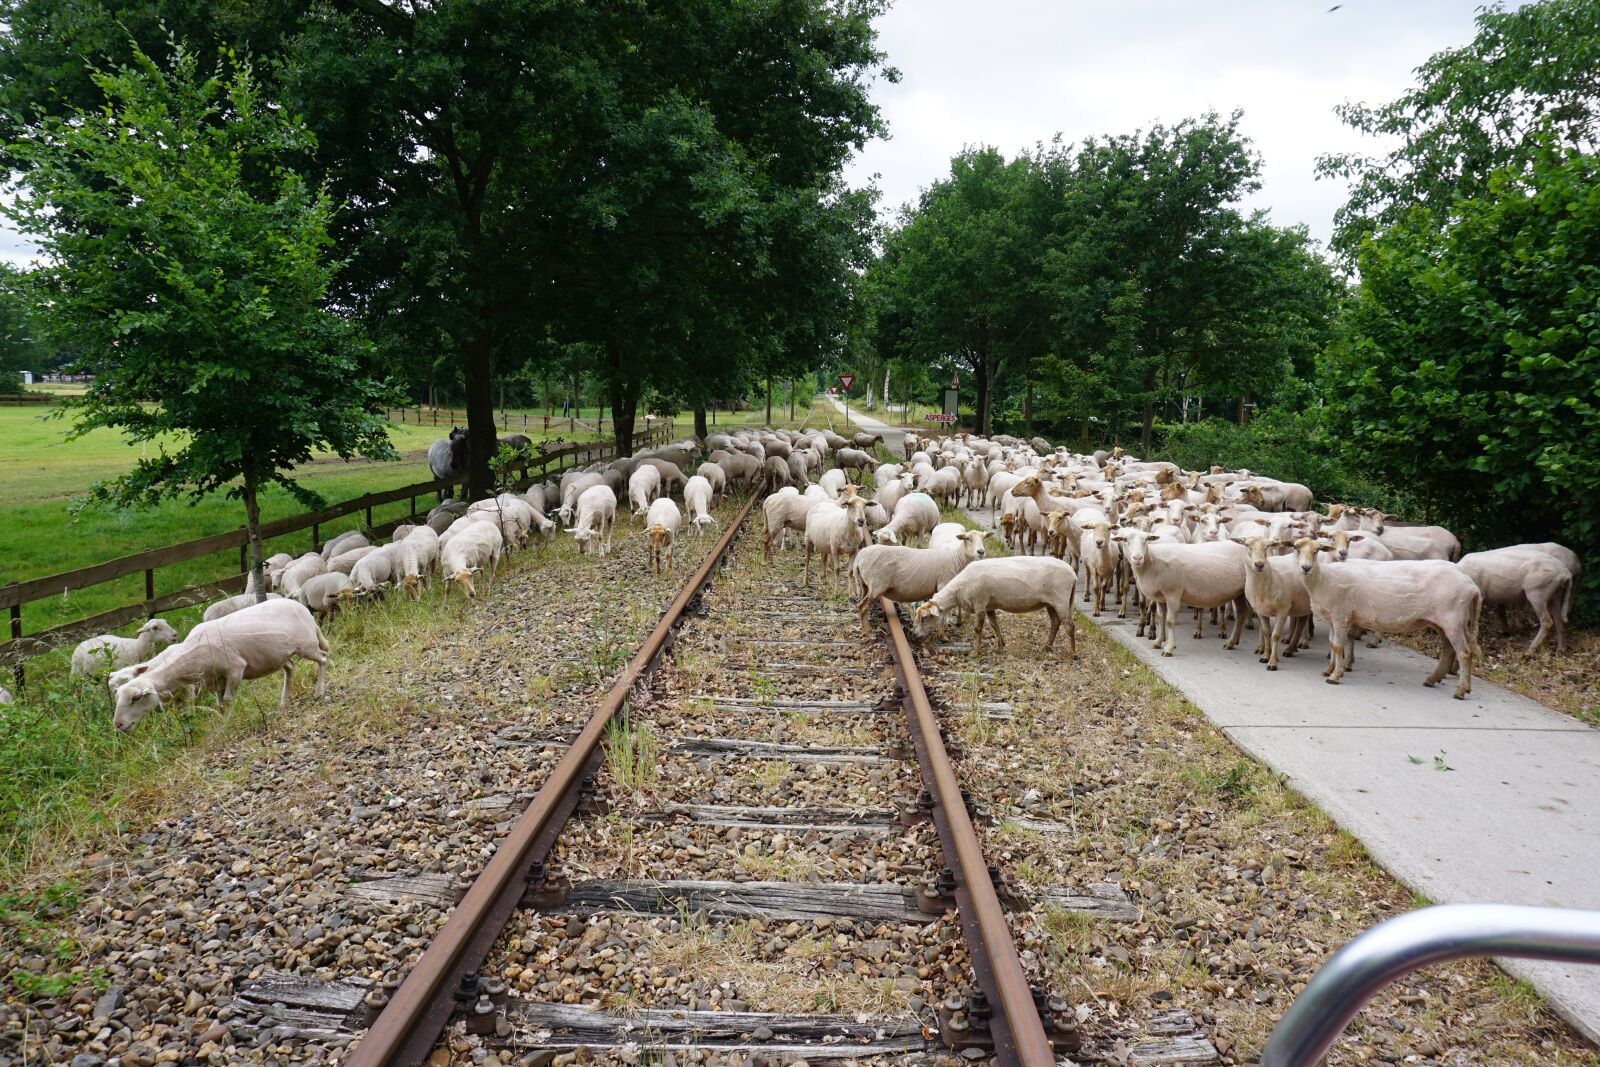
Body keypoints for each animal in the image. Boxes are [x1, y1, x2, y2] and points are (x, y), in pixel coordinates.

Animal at [112, 599, 330, 730]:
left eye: (136, 698)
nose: (118, 724)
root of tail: (301, 607)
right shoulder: (215, 679)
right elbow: (219, 705)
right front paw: (222, 724)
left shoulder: (235, 669)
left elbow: (227, 701)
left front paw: (226, 726)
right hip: (279, 654)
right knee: (291, 668)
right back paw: (284, 701)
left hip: (307, 644)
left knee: (324, 658)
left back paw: (319, 692)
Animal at [850, 530, 985, 634]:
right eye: (967, 538)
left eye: (983, 538)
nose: (981, 552)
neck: (956, 558)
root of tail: (859, 559)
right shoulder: (943, 585)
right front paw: (943, 634)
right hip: (876, 586)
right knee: (862, 607)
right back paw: (868, 632)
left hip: (865, 584)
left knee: (860, 605)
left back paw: (864, 626)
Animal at [913, 556, 1078, 655]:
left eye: (925, 617)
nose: (914, 635)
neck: (958, 591)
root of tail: (1073, 574)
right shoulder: (989, 606)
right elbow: (994, 624)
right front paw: (1000, 645)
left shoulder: (980, 604)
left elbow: (978, 629)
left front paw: (976, 652)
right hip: (1051, 603)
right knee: (1055, 623)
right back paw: (1046, 647)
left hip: (1061, 600)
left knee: (1069, 626)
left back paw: (1072, 654)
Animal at [1294, 538, 1482, 698]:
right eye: (1297, 549)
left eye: (1317, 551)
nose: (1305, 568)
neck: (1324, 579)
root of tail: (1471, 585)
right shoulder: (1333, 617)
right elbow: (1332, 644)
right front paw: (1329, 669)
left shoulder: (1341, 616)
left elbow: (1339, 646)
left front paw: (1334, 676)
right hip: (1444, 622)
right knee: (1449, 650)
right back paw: (1433, 680)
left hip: (1453, 619)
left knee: (1464, 653)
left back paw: (1461, 690)